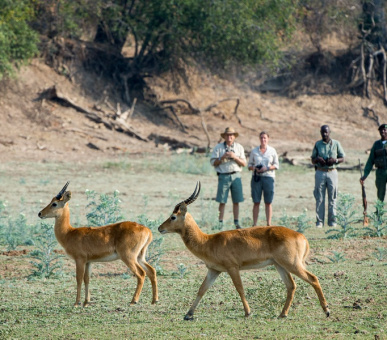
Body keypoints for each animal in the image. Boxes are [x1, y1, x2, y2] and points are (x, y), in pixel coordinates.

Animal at [158, 182, 330, 320]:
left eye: (173, 216)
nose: (160, 228)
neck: (208, 241)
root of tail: (301, 236)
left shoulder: (232, 267)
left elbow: (240, 288)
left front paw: (248, 312)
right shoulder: (214, 270)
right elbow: (201, 290)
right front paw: (188, 314)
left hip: (292, 264)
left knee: (313, 278)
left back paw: (326, 311)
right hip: (280, 265)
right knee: (291, 286)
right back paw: (283, 314)